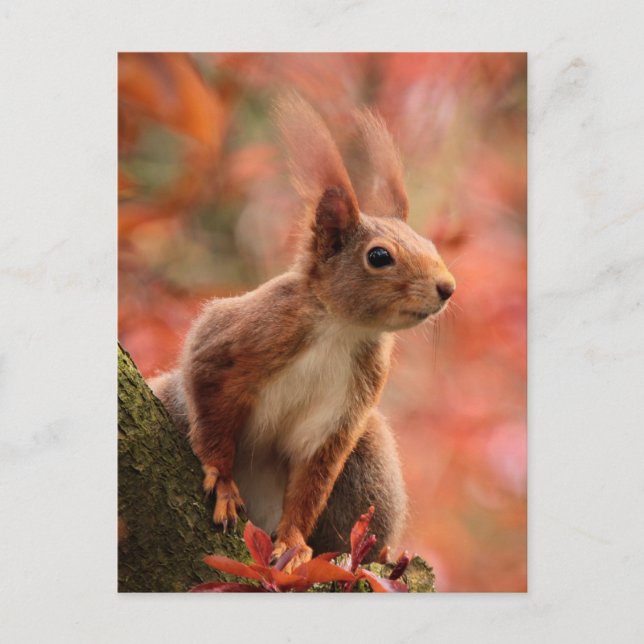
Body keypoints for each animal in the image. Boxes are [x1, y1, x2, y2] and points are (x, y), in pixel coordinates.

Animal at [149, 94, 455, 571]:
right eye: (379, 256)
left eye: (431, 244)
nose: (448, 287)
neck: (342, 330)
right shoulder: (237, 338)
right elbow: (209, 400)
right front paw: (222, 480)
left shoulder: (342, 415)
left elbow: (313, 481)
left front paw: (293, 544)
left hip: (371, 459)